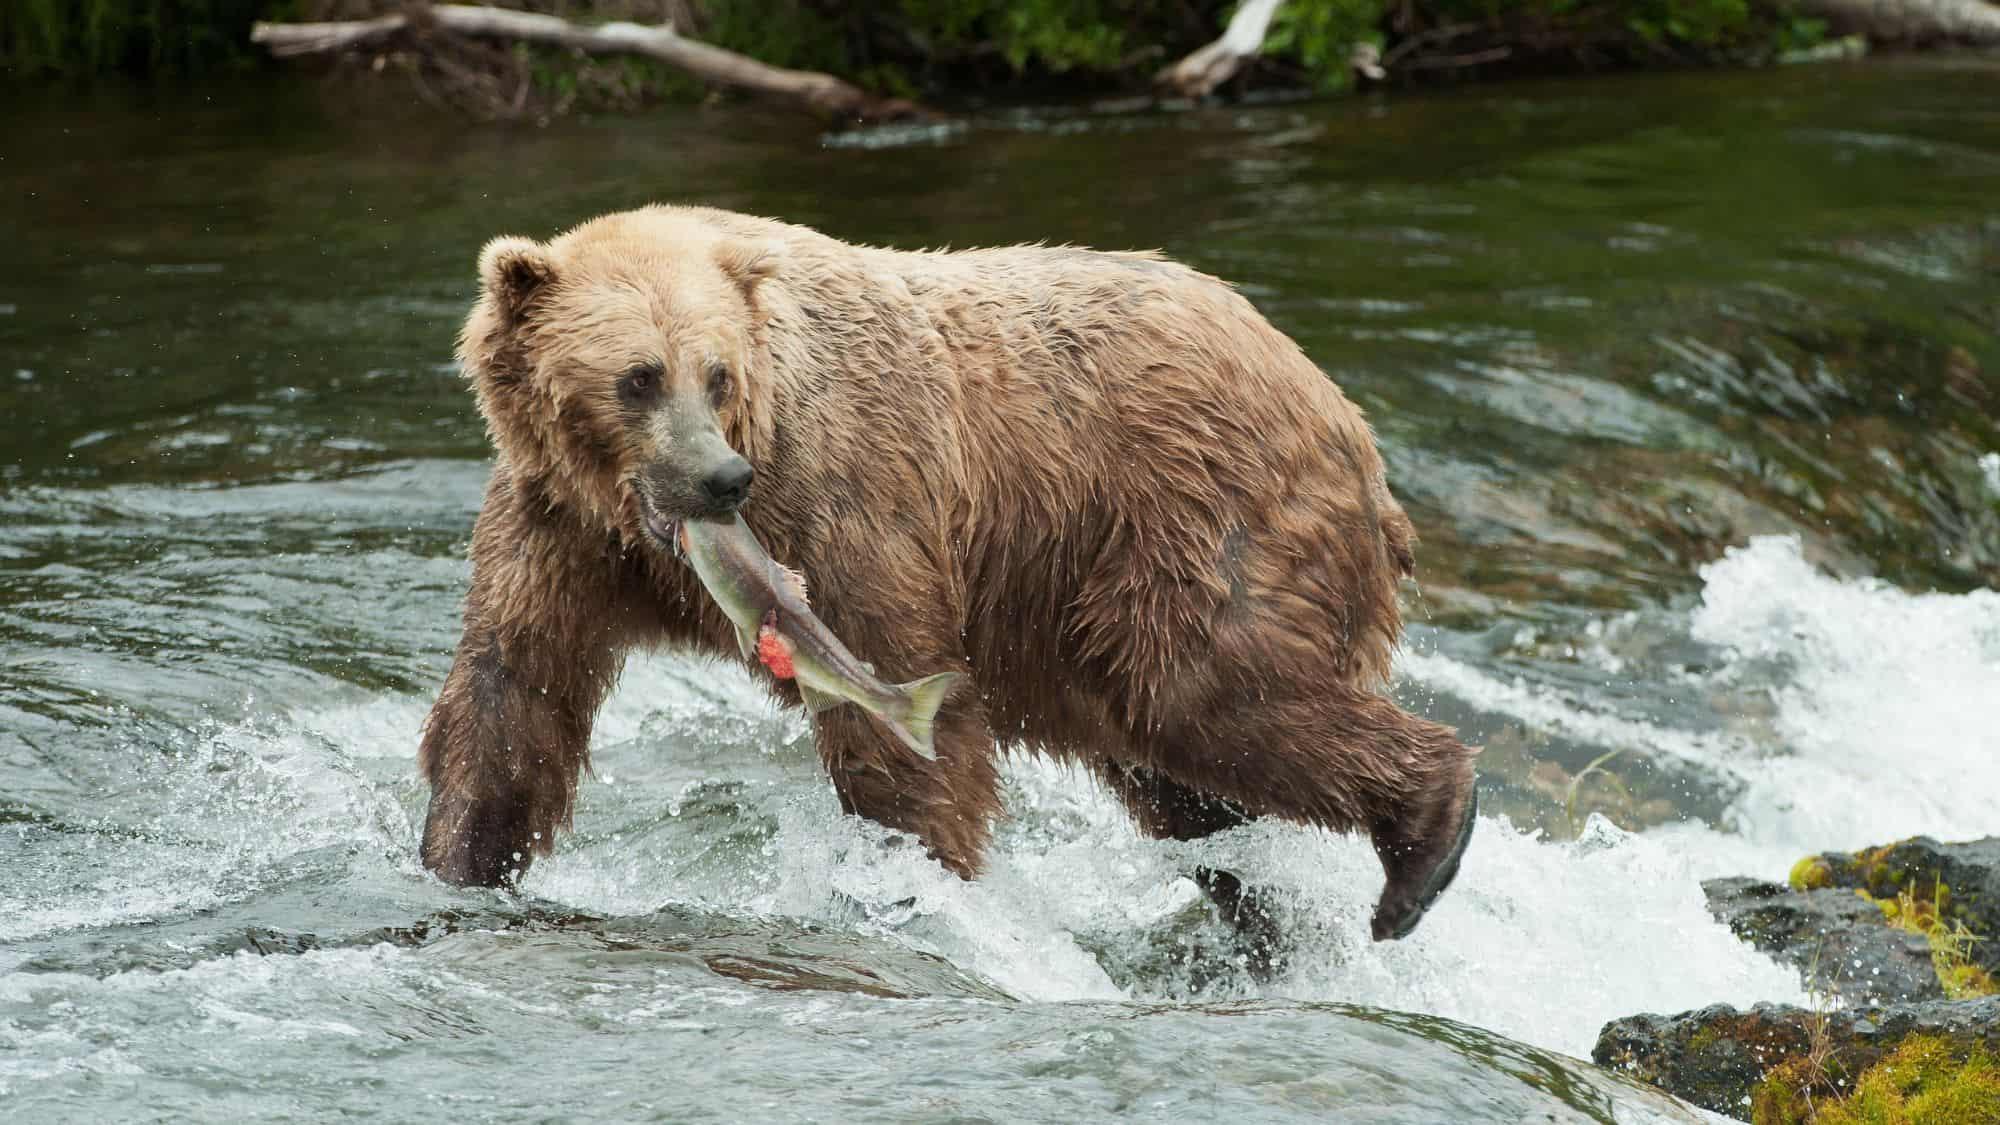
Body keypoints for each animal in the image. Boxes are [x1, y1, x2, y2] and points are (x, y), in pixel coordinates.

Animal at [418, 204, 1481, 946]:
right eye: (638, 376)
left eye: (715, 373)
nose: (722, 479)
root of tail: (1345, 414)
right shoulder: (558, 533)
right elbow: (513, 696)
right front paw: (460, 858)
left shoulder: (847, 502)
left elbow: (903, 715)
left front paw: (912, 878)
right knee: (1184, 782)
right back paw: (1267, 919)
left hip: (1191, 516)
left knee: (1208, 692)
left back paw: (1423, 846)